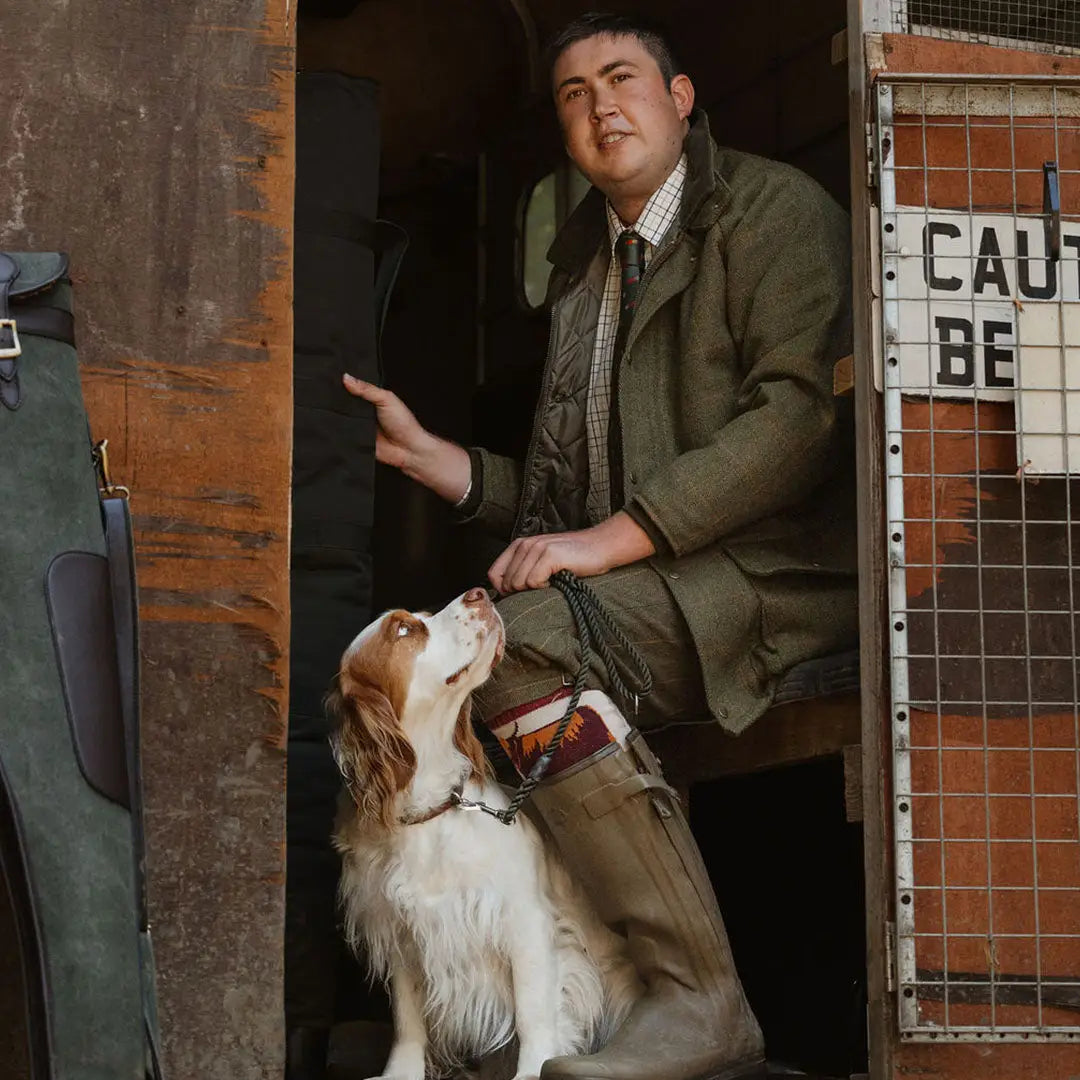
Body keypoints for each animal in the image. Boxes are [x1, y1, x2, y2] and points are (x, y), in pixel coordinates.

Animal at [324, 591, 635, 1080]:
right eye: (403, 630)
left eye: (423, 617)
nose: (480, 593)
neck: (431, 809)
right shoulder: (400, 929)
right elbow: (407, 1019)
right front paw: (401, 1072)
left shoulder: (524, 918)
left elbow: (533, 1010)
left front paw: (533, 1069)